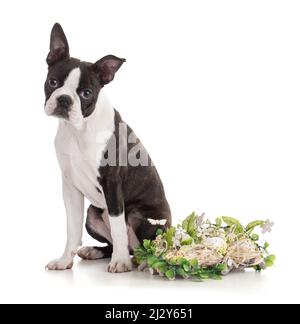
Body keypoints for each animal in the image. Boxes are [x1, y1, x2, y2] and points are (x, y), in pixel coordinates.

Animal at [44, 22, 171, 272]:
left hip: (139, 215)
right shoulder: (70, 186)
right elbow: (72, 227)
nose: (64, 99)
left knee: (143, 243)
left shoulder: (112, 183)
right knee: (113, 241)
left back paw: (140, 261)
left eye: (86, 93)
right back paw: (95, 251)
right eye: (53, 82)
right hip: (92, 214)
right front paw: (64, 261)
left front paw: (120, 263)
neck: (78, 130)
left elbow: (118, 226)